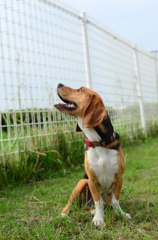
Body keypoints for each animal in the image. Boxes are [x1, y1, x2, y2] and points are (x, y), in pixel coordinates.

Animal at [54, 83, 131, 226]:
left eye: (80, 90)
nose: (59, 84)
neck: (99, 142)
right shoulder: (92, 180)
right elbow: (98, 202)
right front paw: (99, 219)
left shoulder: (119, 178)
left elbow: (115, 201)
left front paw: (121, 215)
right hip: (81, 183)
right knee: (71, 204)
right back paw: (64, 215)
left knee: (105, 203)